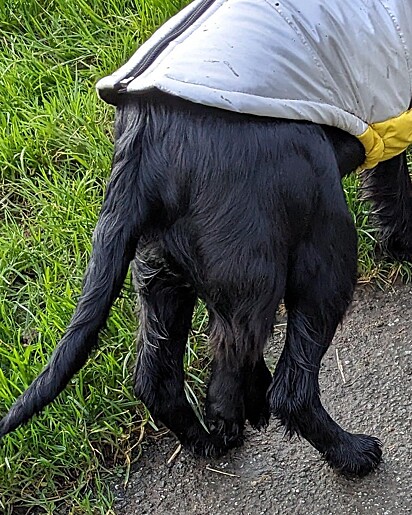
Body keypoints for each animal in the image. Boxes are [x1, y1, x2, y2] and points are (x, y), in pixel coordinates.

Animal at [0, 89, 412, 480]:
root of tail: (144, 136)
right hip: (321, 249)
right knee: (286, 388)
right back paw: (349, 452)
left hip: (165, 275)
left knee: (166, 375)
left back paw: (211, 437)